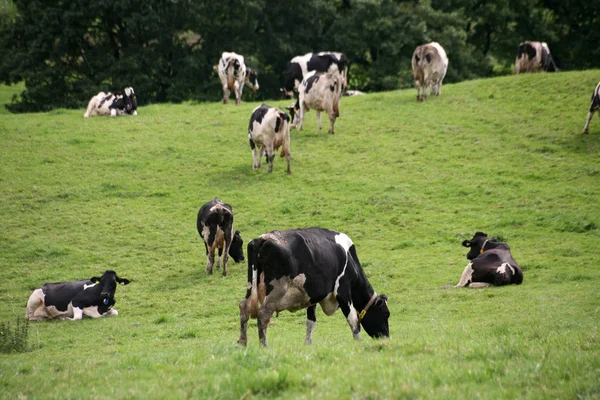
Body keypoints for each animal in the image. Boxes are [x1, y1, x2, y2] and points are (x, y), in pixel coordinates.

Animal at [237, 228, 392, 346]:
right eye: (386, 314)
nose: (386, 337)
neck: (350, 259)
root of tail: (262, 239)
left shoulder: (312, 296)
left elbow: (310, 321)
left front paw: (308, 344)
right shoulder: (342, 290)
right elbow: (352, 318)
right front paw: (359, 342)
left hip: (251, 285)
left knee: (244, 307)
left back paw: (242, 343)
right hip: (277, 290)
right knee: (263, 314)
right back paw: (264, 346)